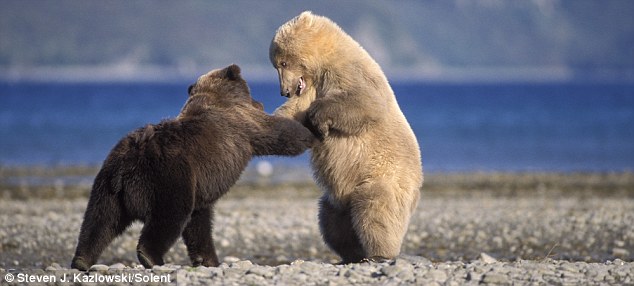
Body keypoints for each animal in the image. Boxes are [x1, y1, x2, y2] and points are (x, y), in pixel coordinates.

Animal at [71, 64, 314, 270]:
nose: (260, 102)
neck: (215, 96)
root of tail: (129, 165)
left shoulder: (202, 188)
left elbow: (198, 226)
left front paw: (207, 260)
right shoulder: (242, 123)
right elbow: (279, 133)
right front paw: (309, 131)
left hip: (108, 183)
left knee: (100, 220)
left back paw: (82, 260)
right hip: (169, 178)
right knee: (169, 216)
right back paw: (150, 257)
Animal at [270, 11, 422, 262]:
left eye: (282, 62)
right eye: (276, 64)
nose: (284, 91)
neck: (323, 64)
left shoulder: (350, 74)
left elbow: (363, 102)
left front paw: (319, 119)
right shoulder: (311, 87)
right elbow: (294, 114)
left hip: (385, 176)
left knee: (375, 209)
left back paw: (379, 253)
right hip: (337, 199)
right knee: (331, 220)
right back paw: (350, 253)